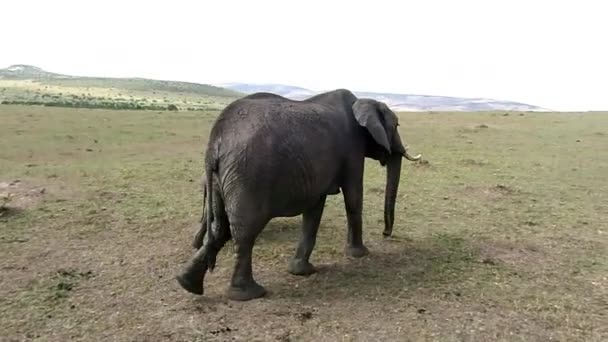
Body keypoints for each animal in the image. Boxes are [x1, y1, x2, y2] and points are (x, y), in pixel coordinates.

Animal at [178, 89, 420, 300]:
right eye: (396, 125)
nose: (386, 234)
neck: (362, 102)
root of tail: (215, 141)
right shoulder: (352, 149)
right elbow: (353, 198)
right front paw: (360, 254)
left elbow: (314, 209)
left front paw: (301, 271)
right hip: (247, 175)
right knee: (244, 232)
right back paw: (249, 294)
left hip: (220, 179)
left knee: (220, 228)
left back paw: (187, 284)